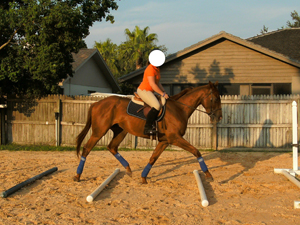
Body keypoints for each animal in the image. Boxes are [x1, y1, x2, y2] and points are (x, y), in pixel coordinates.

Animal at [74, 81, 221, 184]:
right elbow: (196, 151)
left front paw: (143, 178)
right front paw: (208, 174)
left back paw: (128, 169)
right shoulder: (175, 138)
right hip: (99, 132)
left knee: (112, 147)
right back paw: (77, 175)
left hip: (121, 131)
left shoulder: (164, 141)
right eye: (215, 99)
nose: (219, 117)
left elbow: (153, 158)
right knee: (86, 149)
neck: (179, 109)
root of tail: (96, 104)